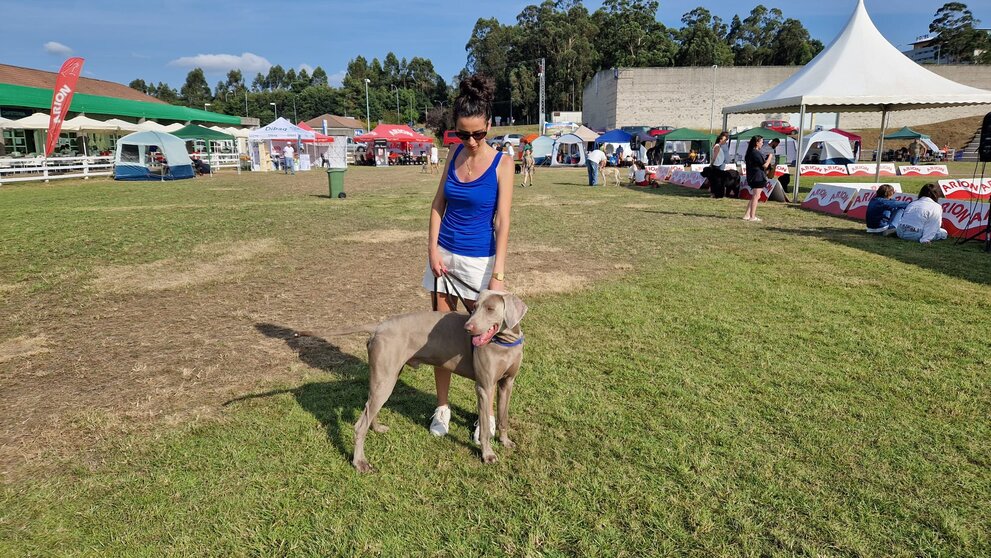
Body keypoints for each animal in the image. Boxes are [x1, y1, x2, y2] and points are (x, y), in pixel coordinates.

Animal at [332, 290, 528, 474]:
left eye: (490, 309)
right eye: (474, 307)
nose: (467, 328)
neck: (505, 342)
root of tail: (378, 326)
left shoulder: (507, 384)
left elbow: (503, 417)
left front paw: (505, 441)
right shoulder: (484, 387)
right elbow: (486, 428)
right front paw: (488, 454)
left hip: (384, 377)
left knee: (370, 406)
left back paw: (377, 428)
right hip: (385, 378)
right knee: (360, 424)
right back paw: (360, 462)